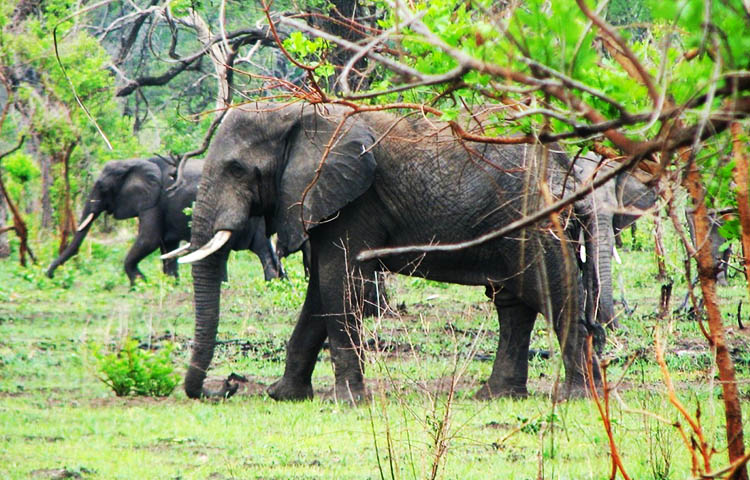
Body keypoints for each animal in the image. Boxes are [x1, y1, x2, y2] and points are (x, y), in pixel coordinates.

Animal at [46, 157, 284, 284]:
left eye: (103, 187)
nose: (49, 274)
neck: (134, 162)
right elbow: (165, 244)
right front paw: (170, 283)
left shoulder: (154, 202)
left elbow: (148, 240)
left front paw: (139, 283)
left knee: (260, 249)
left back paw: (269, 282)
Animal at [178, 102, 604, 402]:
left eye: (236, 169)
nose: (226, 386)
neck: (300, 115)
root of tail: (569, 171)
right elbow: (320, 294)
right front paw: (284, 396)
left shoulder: (352, 201)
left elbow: (338, 283)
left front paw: (346, 402)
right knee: (514, 304)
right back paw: (495, 395)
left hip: (538, 223)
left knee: (554, 295)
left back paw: (578, 397)